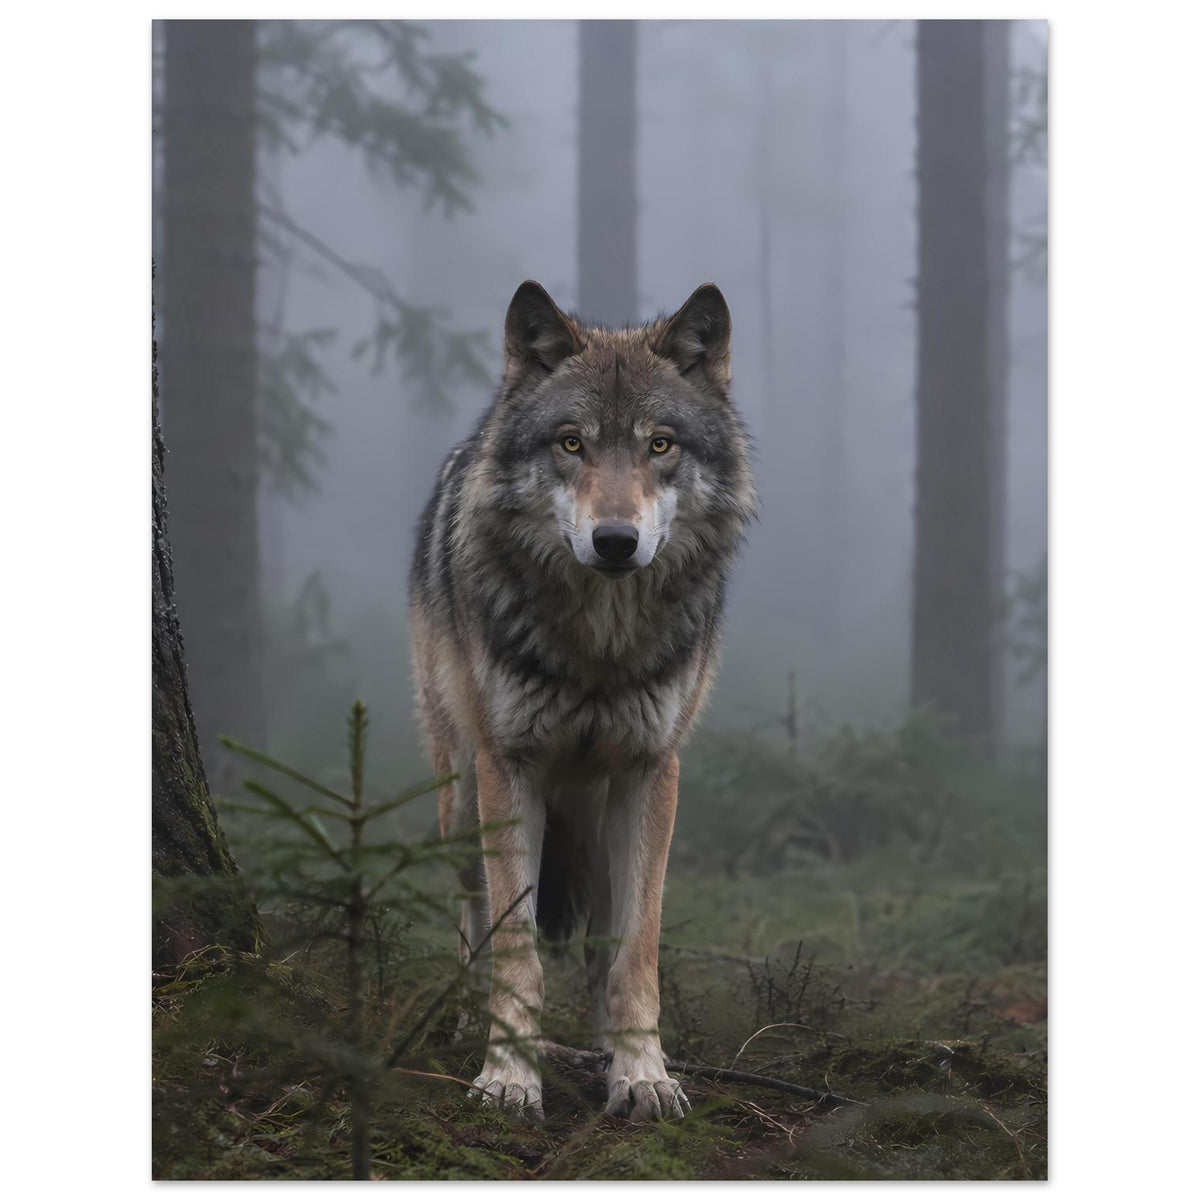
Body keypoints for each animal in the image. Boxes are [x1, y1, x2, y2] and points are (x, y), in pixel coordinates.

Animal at [409, 280, 755, 1122]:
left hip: (597, 818)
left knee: (601, 941)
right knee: (471, 920)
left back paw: (604, 1048)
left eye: (660, 445)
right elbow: (516, 950)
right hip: (460, 800)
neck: (600, 645)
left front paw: (643, 1073)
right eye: (571, 444)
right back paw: (461, 1022)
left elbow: (636, 953)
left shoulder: (650, 772)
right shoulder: (510, 767)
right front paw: (507, 1076)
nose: (615, 541)